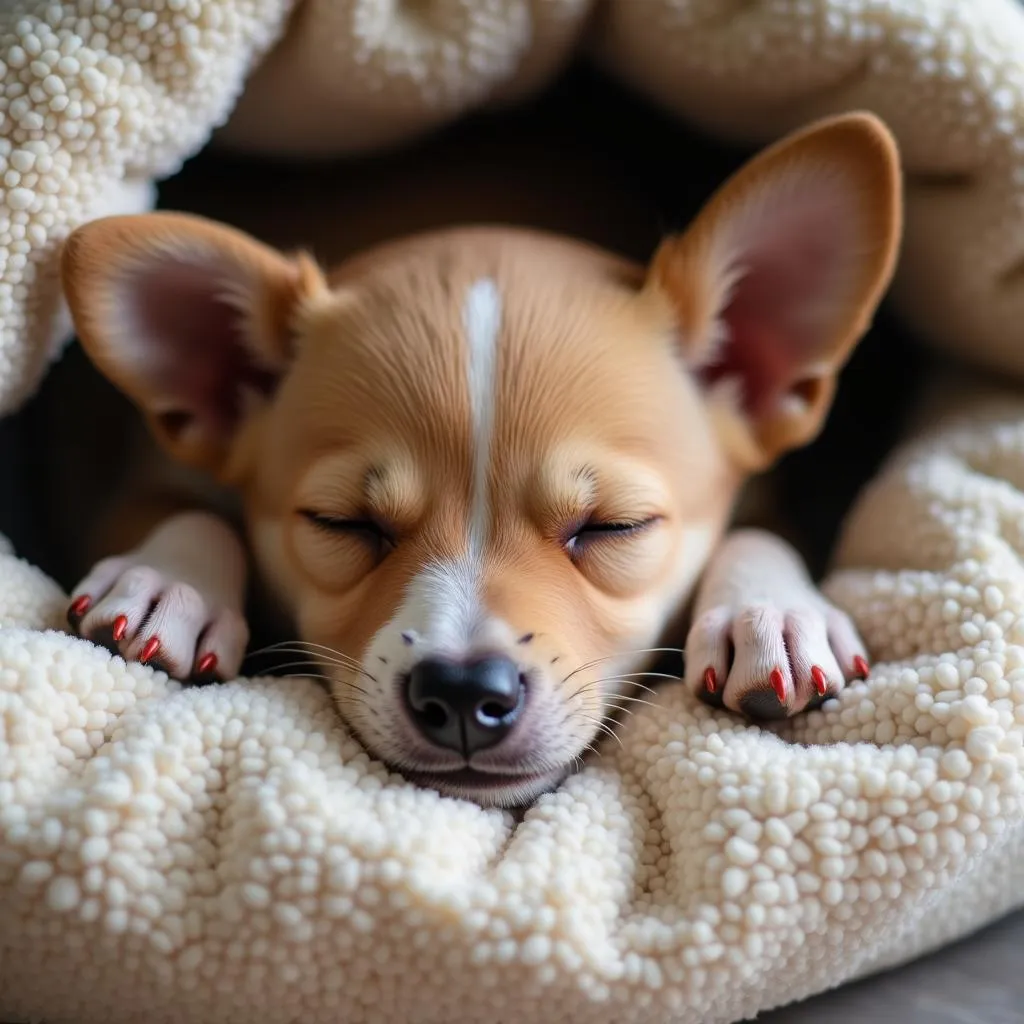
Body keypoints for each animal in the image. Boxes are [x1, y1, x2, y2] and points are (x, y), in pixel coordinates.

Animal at [59, 114, 901, 806]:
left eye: (613, 526)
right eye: (344, 524)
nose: (464, 691)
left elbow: (758, 531)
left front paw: (774, 615)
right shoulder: (135, 480)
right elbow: (195, 509)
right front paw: (166, 584)